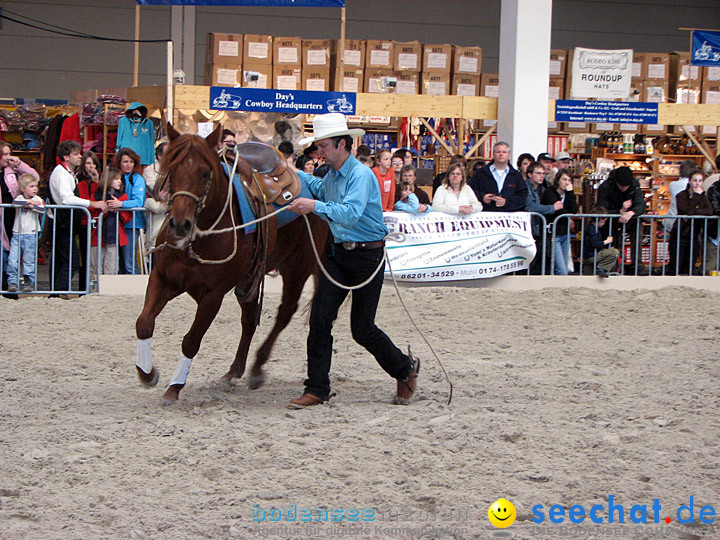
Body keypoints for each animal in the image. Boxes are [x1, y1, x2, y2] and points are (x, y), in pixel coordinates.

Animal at [134, 124, 328, 402]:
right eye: (171, 170)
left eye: (205, 172)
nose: (180, 224)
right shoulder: (163, 278)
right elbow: (144, 323)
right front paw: (147, 373)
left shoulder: (212, 295)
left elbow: (191, 340)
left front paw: (174, 387)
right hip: (251, 278)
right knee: (248, 320)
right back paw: (234, 371)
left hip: (297, 267)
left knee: (285, 312)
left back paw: (257, 367)